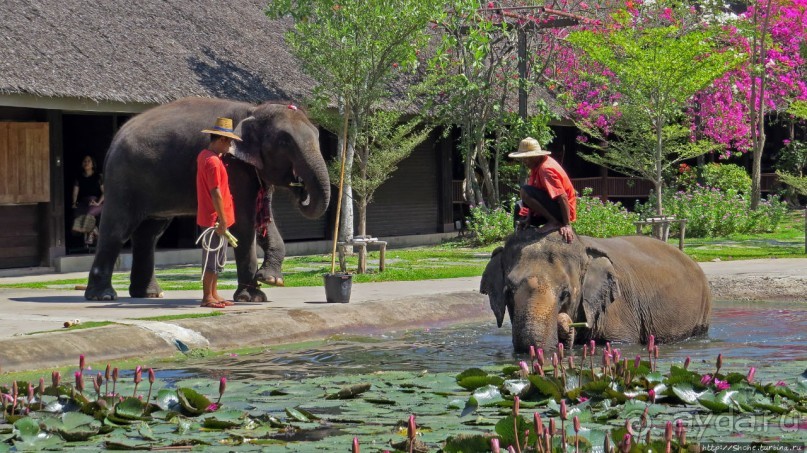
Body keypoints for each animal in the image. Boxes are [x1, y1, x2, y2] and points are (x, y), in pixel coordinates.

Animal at [83, 96, 330, 300]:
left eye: (319, 136)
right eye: (285, 141)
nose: (300, 189)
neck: (255, 109)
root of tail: (115, 138)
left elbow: (264, 220)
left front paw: (271, 279)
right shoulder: (233, 166)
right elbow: (244, 222)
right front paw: (253, 297)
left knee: (149, 234)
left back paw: (148, 294)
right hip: (123, 178)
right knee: (117, 229)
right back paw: (103, 296)